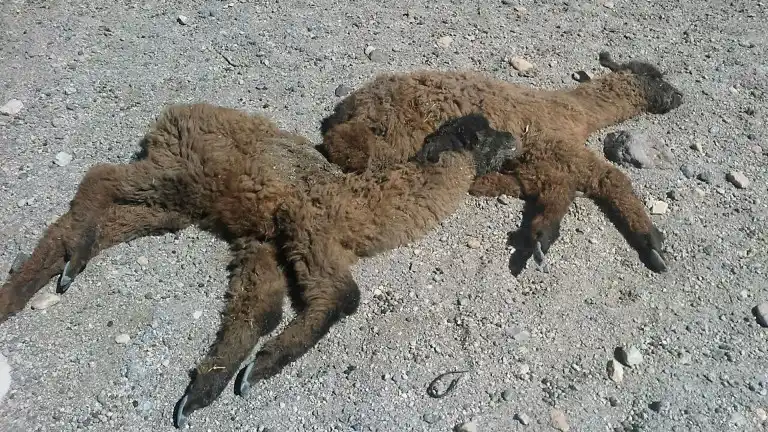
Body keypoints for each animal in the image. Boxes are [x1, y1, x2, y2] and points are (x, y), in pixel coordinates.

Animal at [0, 103, 519, 427]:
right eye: (483, 135)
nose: (515, 139)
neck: (364, 204)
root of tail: (175, 114)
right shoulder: (304, 227)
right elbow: (342, 296)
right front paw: (258, 369)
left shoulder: (265, 244)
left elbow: (257, 312)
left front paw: (203, 391)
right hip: (183, 175)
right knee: (101, 176)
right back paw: (68, 265)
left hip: (176, 205)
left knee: (87, 221)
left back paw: (33, 285)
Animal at [318, 51, 684, 274]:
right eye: (656, 77)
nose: (679, 96)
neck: (574, 112)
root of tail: (349, 106)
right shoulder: (557, 146)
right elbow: (610, 179)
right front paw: (651, 241)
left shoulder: (539, 157)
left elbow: (556, 187)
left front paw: (540, 234)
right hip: (387, 133)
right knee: (348, 148)